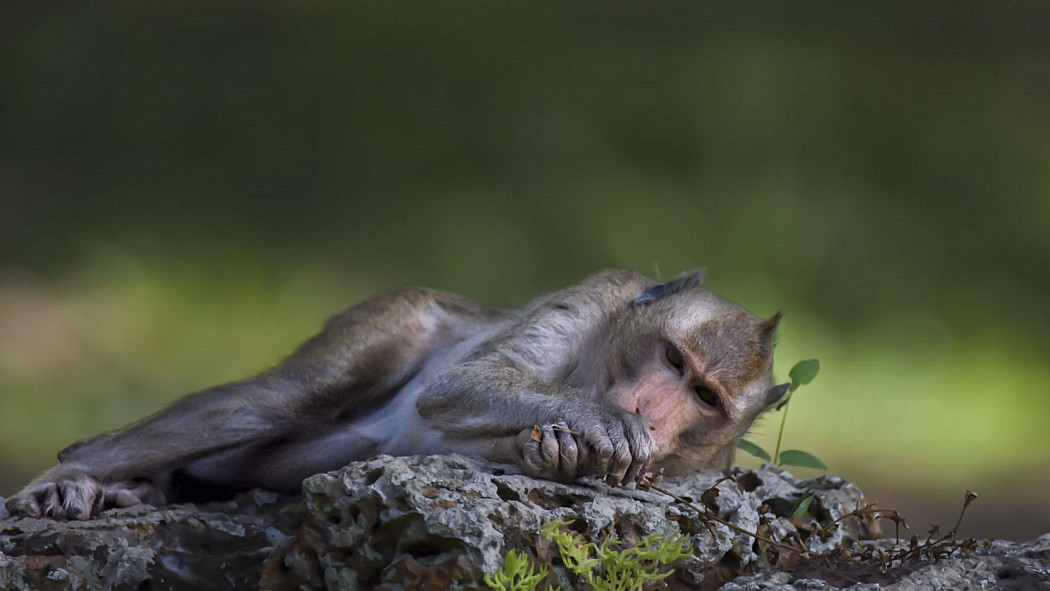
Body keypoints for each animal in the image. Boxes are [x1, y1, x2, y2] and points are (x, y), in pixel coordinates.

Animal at [6, 268, 789, 520]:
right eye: (672, 358)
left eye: (706, 397)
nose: (652, 409)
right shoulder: (597, 293)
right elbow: (459, 384)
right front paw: (598, 423)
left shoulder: (701, 464)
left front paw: (561, 453)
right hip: (400, 314)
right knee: (272, 403)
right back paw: (76, 471)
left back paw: (140, 486)